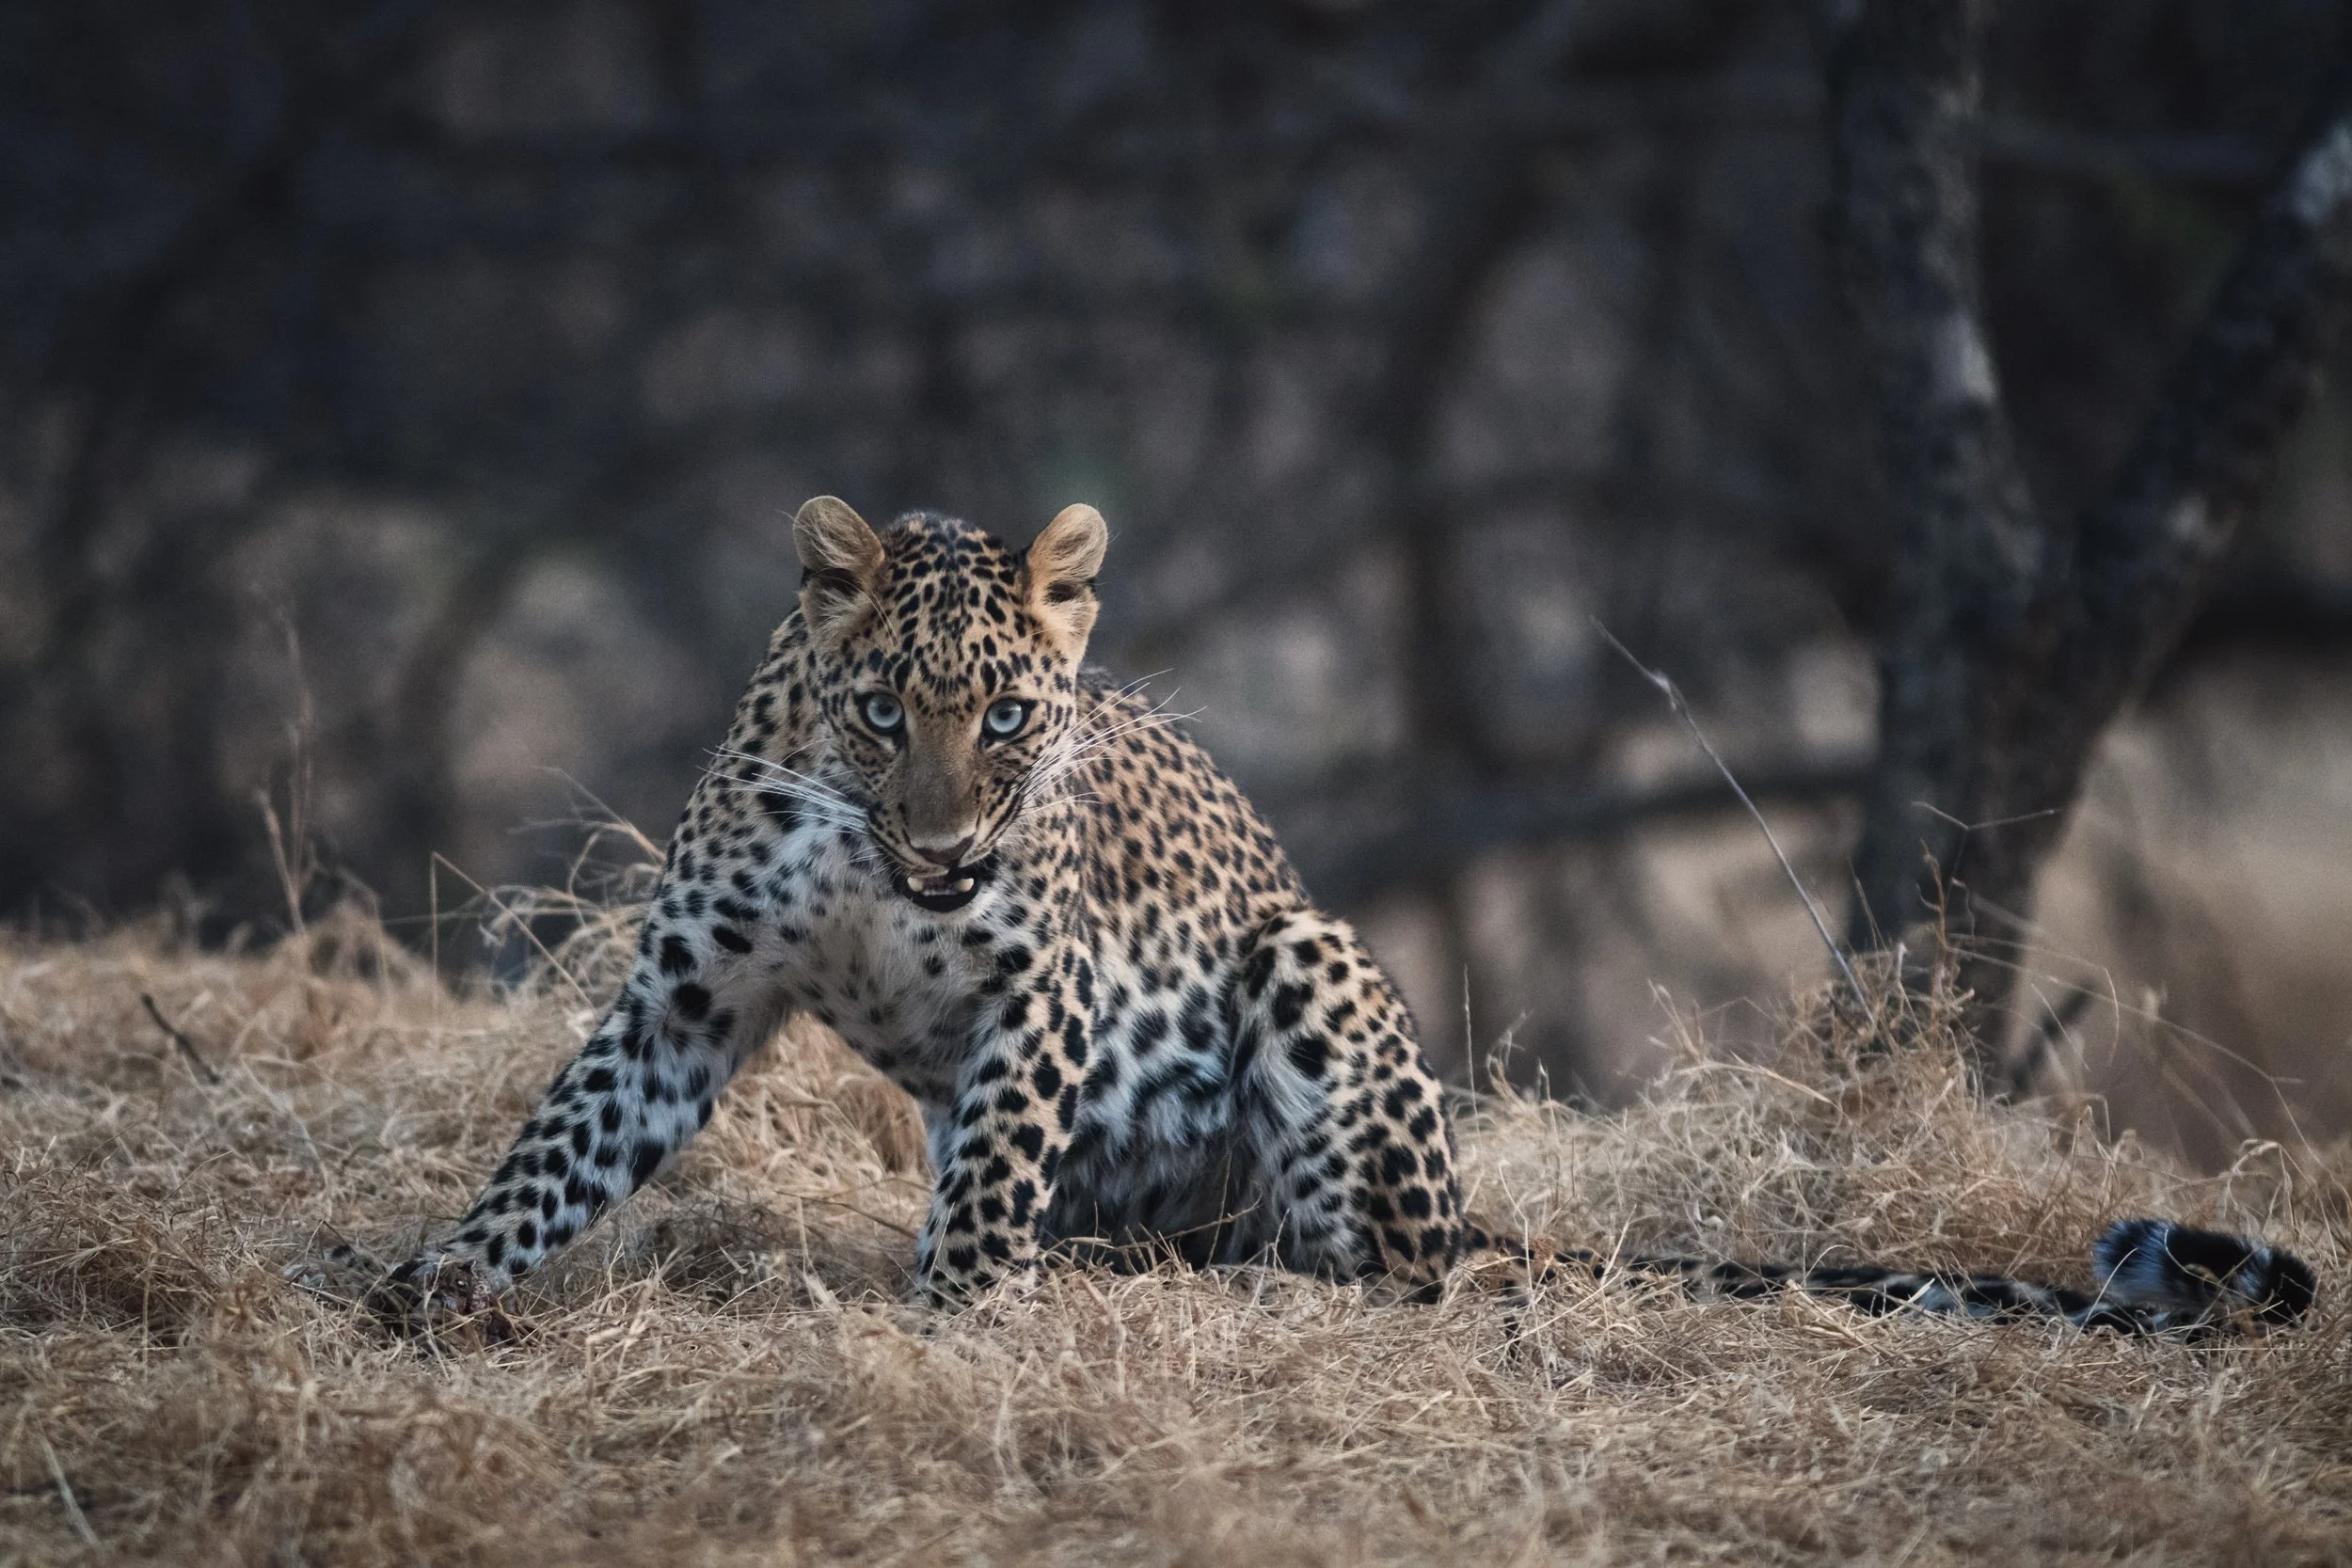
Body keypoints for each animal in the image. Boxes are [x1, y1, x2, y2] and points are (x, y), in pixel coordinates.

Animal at [383, 497, 2316, 1337]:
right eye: (881, 711)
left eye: (1007, 718)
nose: (946, 847)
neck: (871, 864)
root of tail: (1469, 1210)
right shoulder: (688, 999)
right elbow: (556, 1146)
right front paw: (435, 1280)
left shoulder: (1039, 998)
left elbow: (992, 1178)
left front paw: (965, 1317)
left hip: (1314, 969)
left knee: (1387, 1269)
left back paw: (1249, 1277)